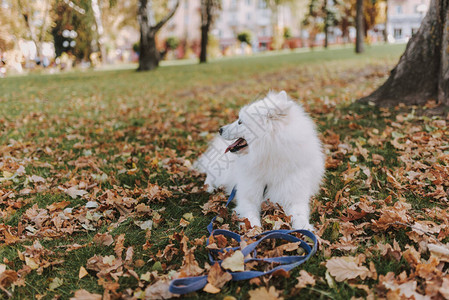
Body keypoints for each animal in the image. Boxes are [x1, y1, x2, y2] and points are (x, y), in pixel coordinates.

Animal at [194, 91, 324, 230]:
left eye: (240, 122)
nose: (220, 129)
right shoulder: (248, 196)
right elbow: (250, 217)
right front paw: (254, 230)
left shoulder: (294, 195)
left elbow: (300, 215)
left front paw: (305, 228)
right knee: (210, 173)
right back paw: (209, 187)